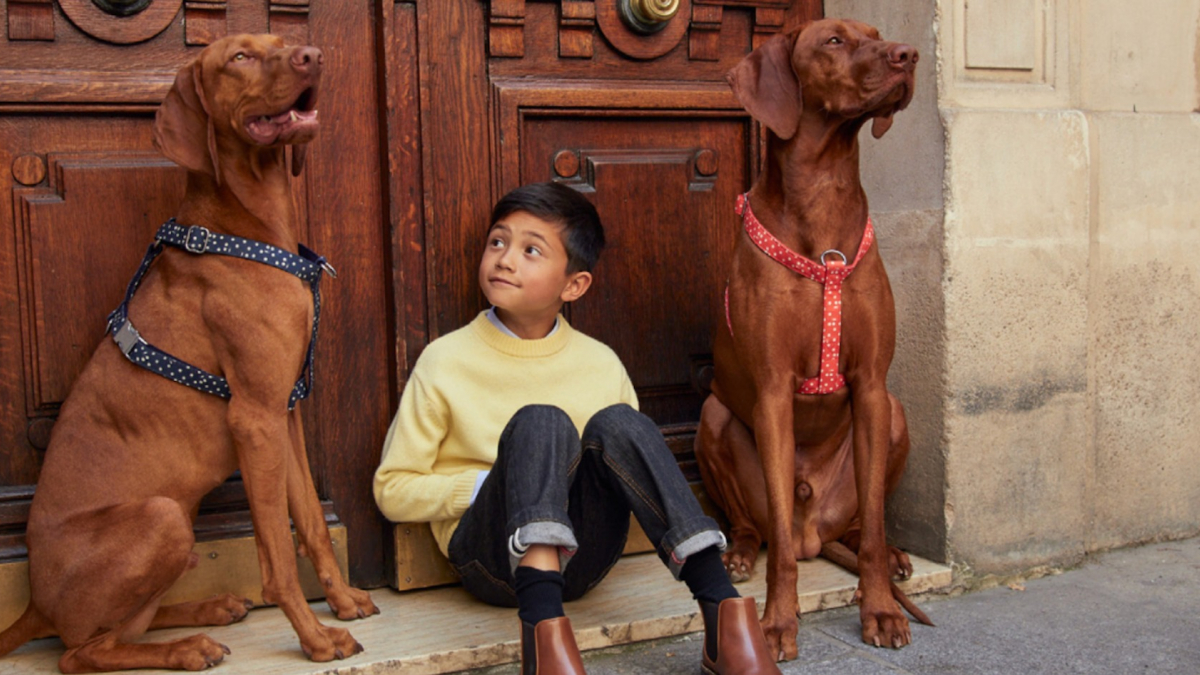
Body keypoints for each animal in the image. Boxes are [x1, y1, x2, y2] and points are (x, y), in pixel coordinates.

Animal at [0, 35, 376, 667]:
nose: (313, 56)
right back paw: (186, 648)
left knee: (126, 627)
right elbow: (277, 553)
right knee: (82, 653)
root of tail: (36, 606)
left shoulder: (285, 412)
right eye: (239, 58)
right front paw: (315, 638)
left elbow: (312, 522)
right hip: (163, 516)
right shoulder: (254, 419)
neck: (247, 227)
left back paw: (207, 611)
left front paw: (343, 600)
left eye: (281, 44)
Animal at [700, 19, 921, 658]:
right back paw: (740, 552)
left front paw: (879, 611)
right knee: (763, 530)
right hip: (712, 416)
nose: (910, 55)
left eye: (876, 33)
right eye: (834, 41)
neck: (822, 189)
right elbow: (775, 536)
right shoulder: (774, 393)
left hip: (893, 415)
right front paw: (775, 624)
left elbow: (872, 529)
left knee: (860, 527)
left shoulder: (871, 387)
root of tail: (812, 535)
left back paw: (893, 557)